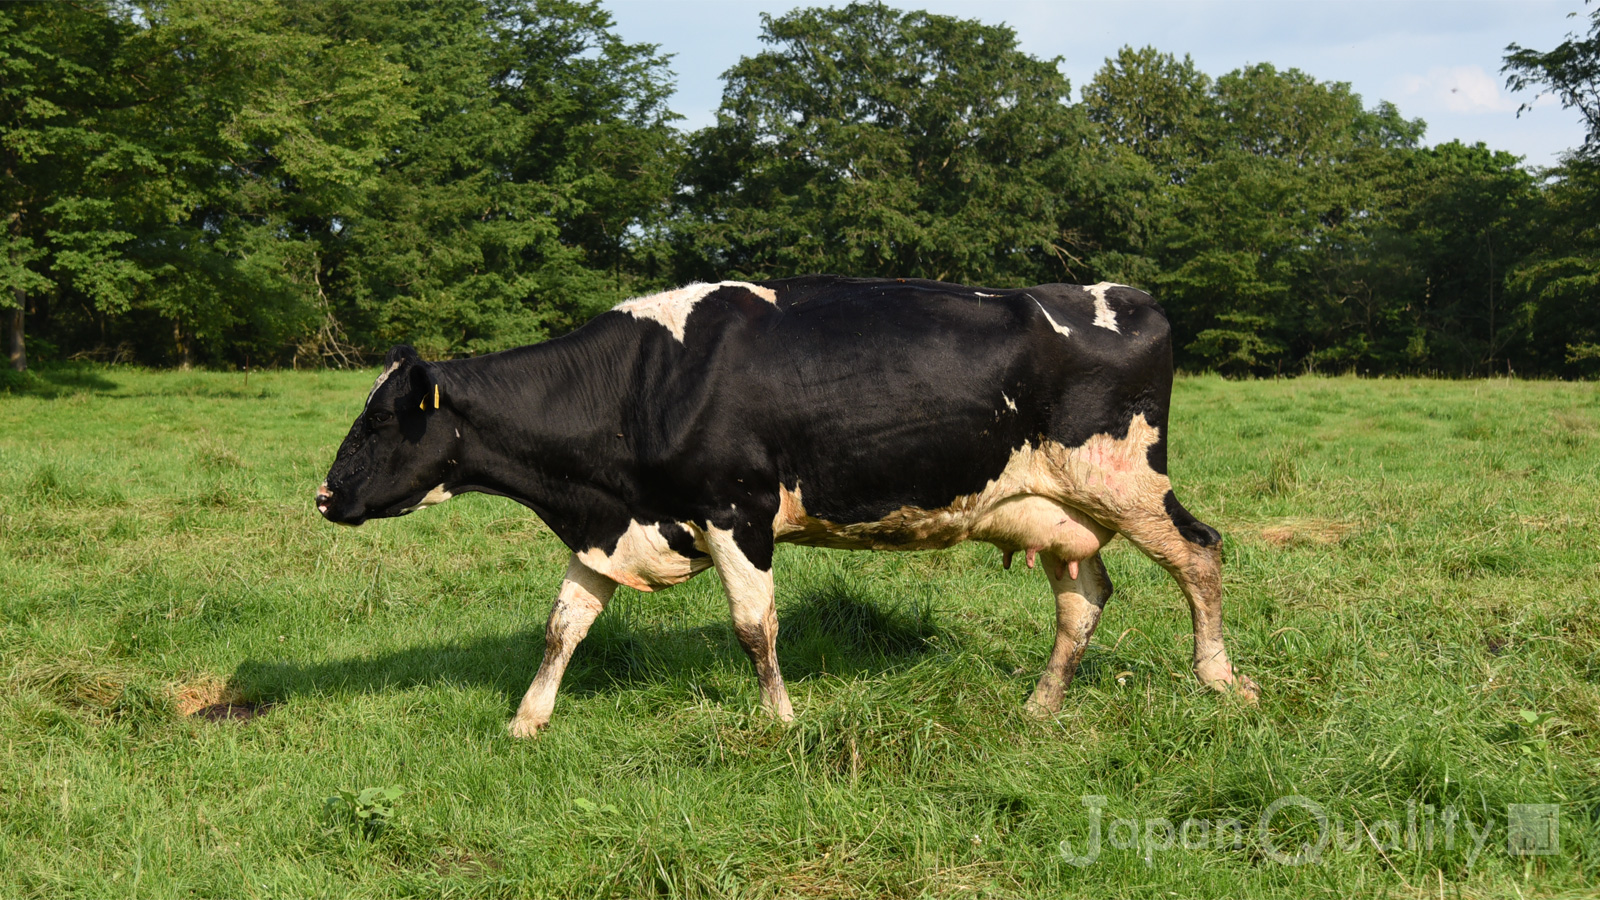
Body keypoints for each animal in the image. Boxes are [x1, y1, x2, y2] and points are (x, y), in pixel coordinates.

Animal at [315, 275, 1260, 736]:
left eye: (380, 421)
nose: (324, 495)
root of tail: (1122, 294)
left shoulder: (737, 510)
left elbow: (753, 627)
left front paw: (780, 719)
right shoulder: (613, 527)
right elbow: (564, 627)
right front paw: (526, 721)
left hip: (1129, 482)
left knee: (1201, 551)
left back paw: (1222, 680)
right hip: (1056, 510)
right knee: (1085, 599)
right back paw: (1039, 707)